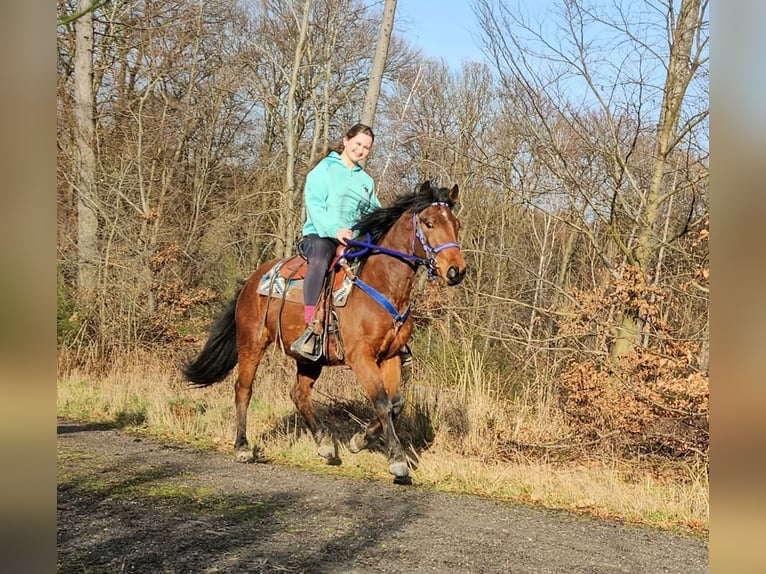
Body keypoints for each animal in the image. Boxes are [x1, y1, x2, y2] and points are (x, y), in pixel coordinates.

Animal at [182, 181, 466, 481]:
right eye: (429, 222)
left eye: (456, 224)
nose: (456, 270)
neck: (381, 285)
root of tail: (251, 280)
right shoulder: (360, 357)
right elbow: (382, 401)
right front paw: (397, 461)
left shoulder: (390, 357)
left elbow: (396, 403)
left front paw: (359, 440)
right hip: (252, 343)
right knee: (243, 389)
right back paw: (243, 447)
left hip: (309, 359)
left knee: (299, 394)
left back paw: (325, 445)